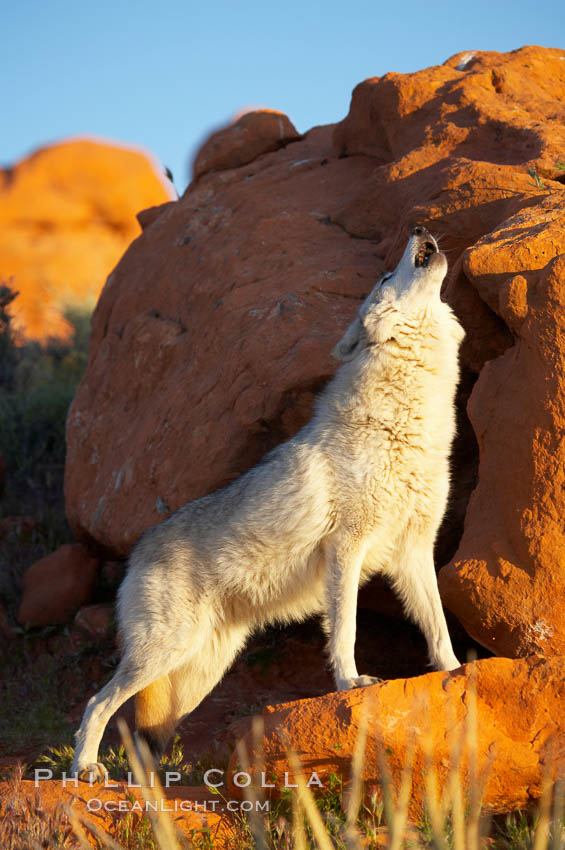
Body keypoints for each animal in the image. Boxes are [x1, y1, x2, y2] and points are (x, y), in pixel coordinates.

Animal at [70, 227, 462, 780]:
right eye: (388, 274)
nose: (421, 230)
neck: (405, 425)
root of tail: (136, 553)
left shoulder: (414, 552)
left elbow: (438, 626)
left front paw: (458, 672)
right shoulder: (347, 548)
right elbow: (345, 630)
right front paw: (351, 683)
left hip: (195, 679)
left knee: (142, 737)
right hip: (164, 653)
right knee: (96, 703)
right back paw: (85, 768)